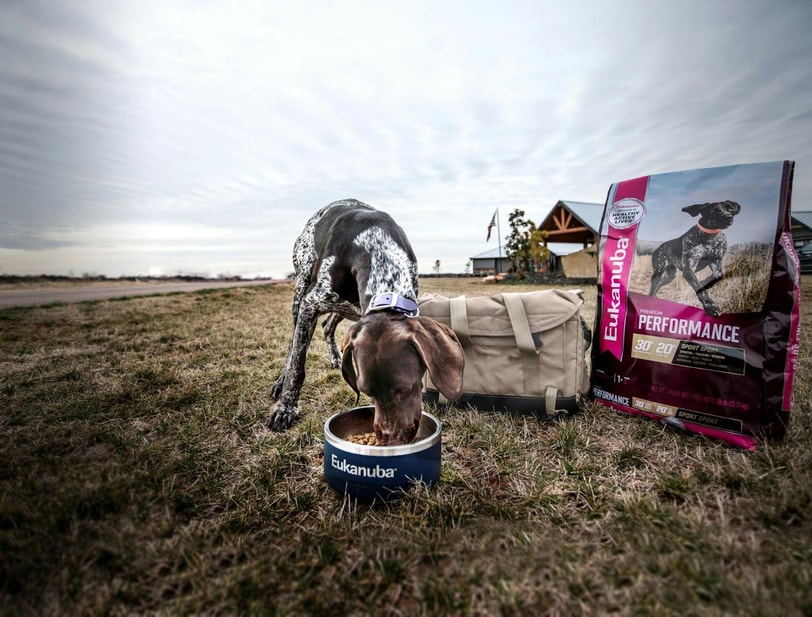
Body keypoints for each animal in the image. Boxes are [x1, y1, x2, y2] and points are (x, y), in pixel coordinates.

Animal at [270, 197, 464, 442]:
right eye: (367, 392)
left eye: (408, 388)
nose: (391, 439)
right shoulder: (310, 304)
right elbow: (298, 365)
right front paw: (286, 408)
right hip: (301, 290)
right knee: (293, 345)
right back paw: (281, 382)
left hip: (346, 309)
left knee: (327, 325)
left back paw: (335, 356)